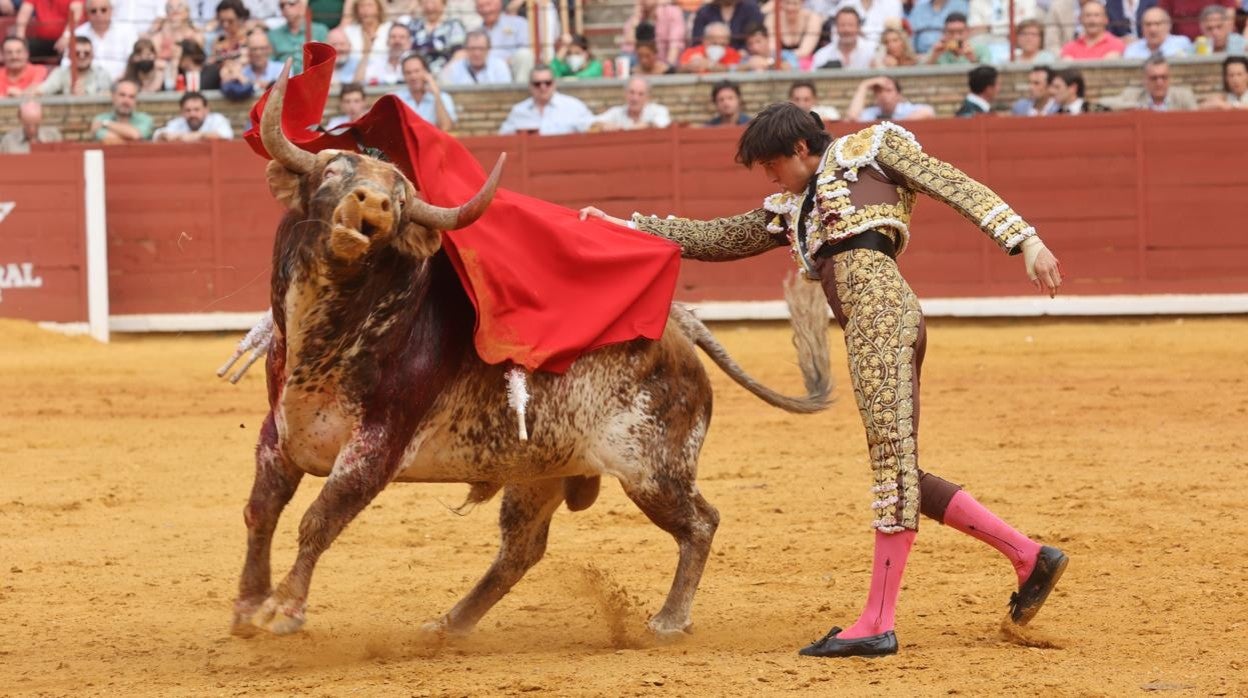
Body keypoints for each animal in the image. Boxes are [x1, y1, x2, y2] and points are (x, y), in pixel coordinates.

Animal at [227, 68, 828, 644]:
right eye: (332, 172)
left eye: (399, 200)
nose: (372, 203)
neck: (328, 337)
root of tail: (678, 324)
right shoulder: (279, 434)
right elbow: (260, 510)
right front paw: (248, 607)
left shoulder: (377, 446)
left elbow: (318, 519)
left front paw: (284, 611)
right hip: (540, 471)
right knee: (522, 548)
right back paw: (450, 624)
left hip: (652, 469)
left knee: (700, 523)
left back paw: (668, 621)